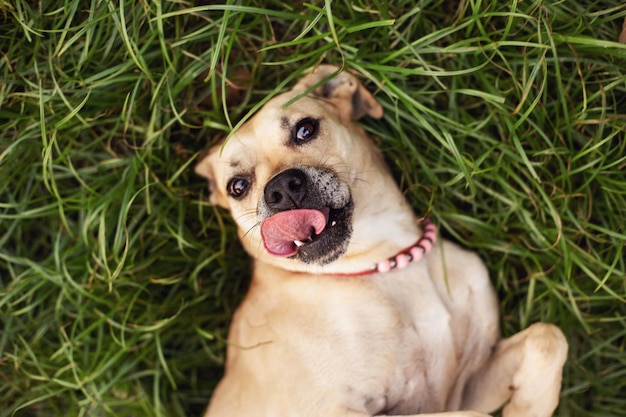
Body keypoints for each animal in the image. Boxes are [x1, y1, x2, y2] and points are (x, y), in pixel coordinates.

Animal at [194, 65, 564, 416]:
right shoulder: (334, 411)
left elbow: (547, 337)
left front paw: (529, 405)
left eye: (305, 129)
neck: (389, 263)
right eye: (237, 186)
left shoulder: (468, 379)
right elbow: (472, 415)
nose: (282, 189)